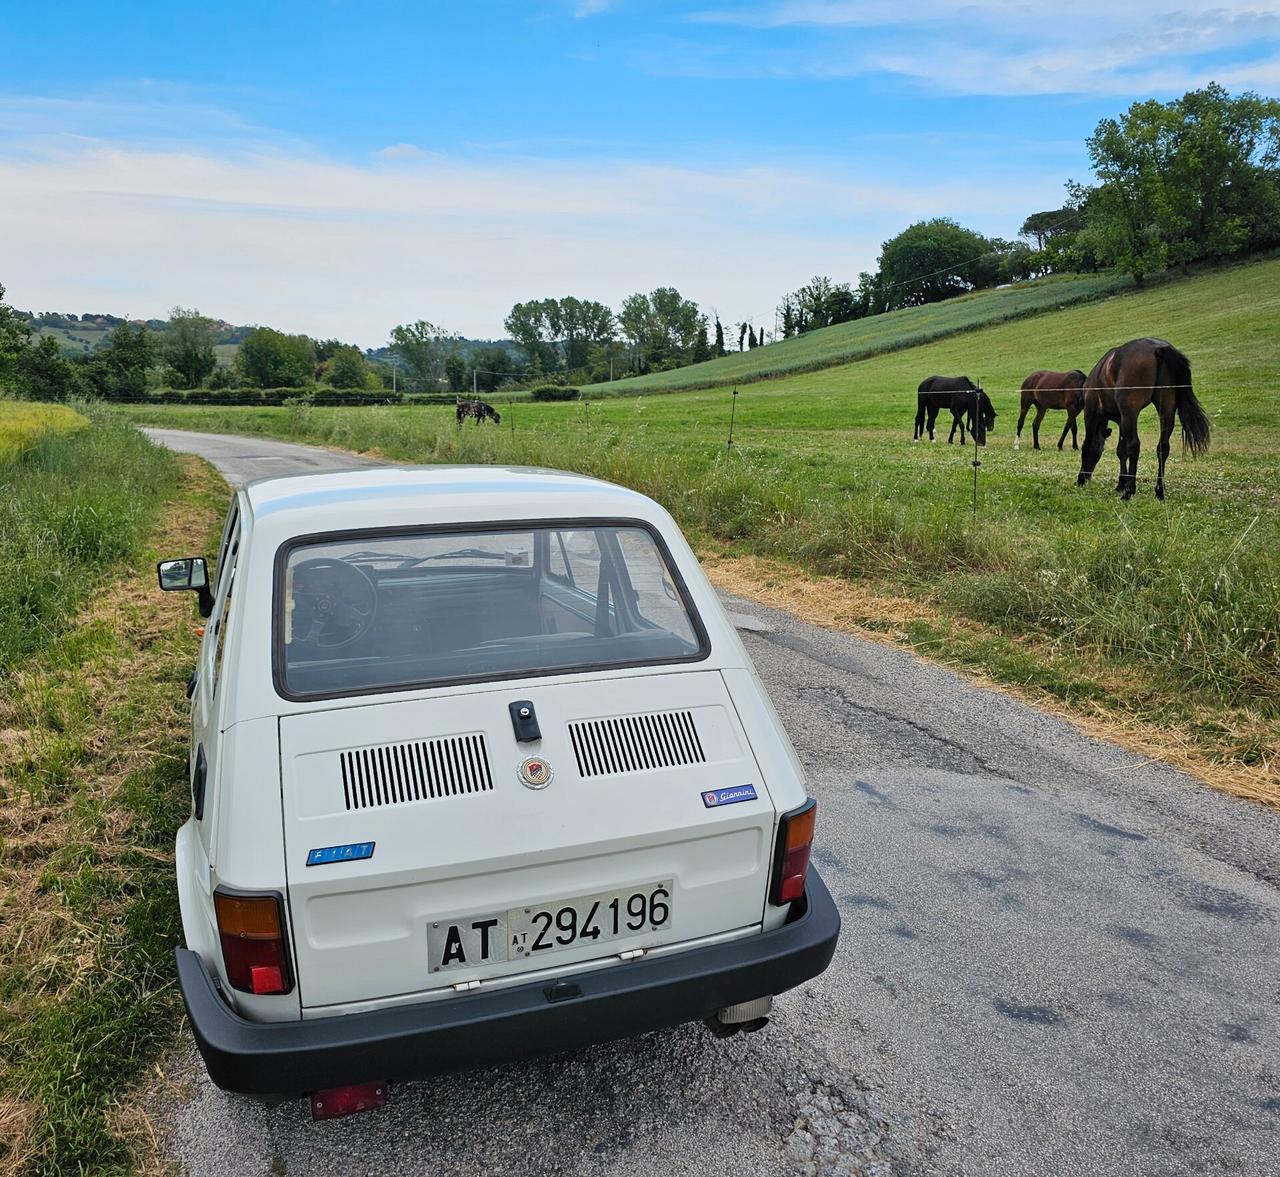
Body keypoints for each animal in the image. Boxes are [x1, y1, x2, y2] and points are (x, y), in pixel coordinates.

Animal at [1080, 337, 1208, 498]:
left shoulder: (1092, 412)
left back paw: (1130, 491)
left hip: (1130, 411)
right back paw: (1159, 490)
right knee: (1163, 447)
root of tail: (1158, 348)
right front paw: (1121, 484)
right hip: (1166, 408)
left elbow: (1091, 444)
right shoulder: (1121, 420)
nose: (1085, 477)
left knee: (1134, 445)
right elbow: (1121, 450)